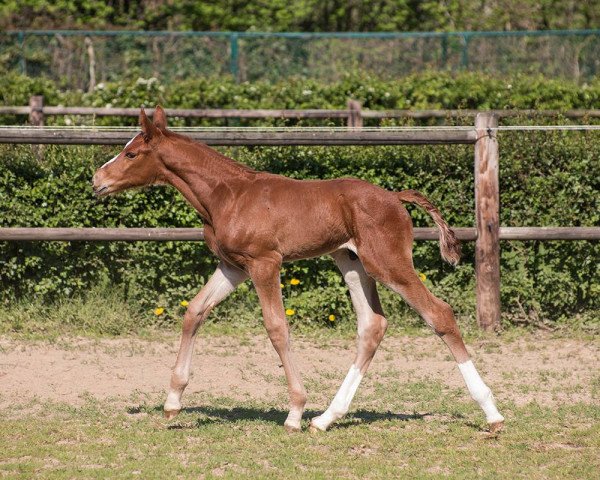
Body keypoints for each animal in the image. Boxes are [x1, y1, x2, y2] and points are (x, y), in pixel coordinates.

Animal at [92, 108, 506, 436]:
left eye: (131, 152)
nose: (97, 180)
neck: (227, 194)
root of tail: (395, 197)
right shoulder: (232, 266)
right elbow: (195, 311)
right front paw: (173, 400)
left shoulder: (264, 263)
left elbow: (276, 327)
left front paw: (294, 411)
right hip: (351, 261)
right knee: (372, 325)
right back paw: (326, 419)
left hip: (387, 263)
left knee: (439, 313)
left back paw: (492, 412)